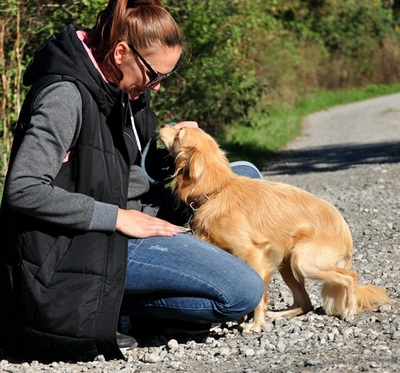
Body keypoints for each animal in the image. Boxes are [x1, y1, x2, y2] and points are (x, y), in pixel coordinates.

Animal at [159, 125, 390, 332]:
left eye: (179, 134)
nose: (163, 125)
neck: (217, 190)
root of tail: (347, 237)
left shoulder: (254, 254)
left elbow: (258, 294)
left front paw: (255, 324)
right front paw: (244, 319)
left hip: (303, 261)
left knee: (350, 277)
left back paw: (349, 310)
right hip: (287, 265)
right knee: (304, 303)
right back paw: (277, 315)